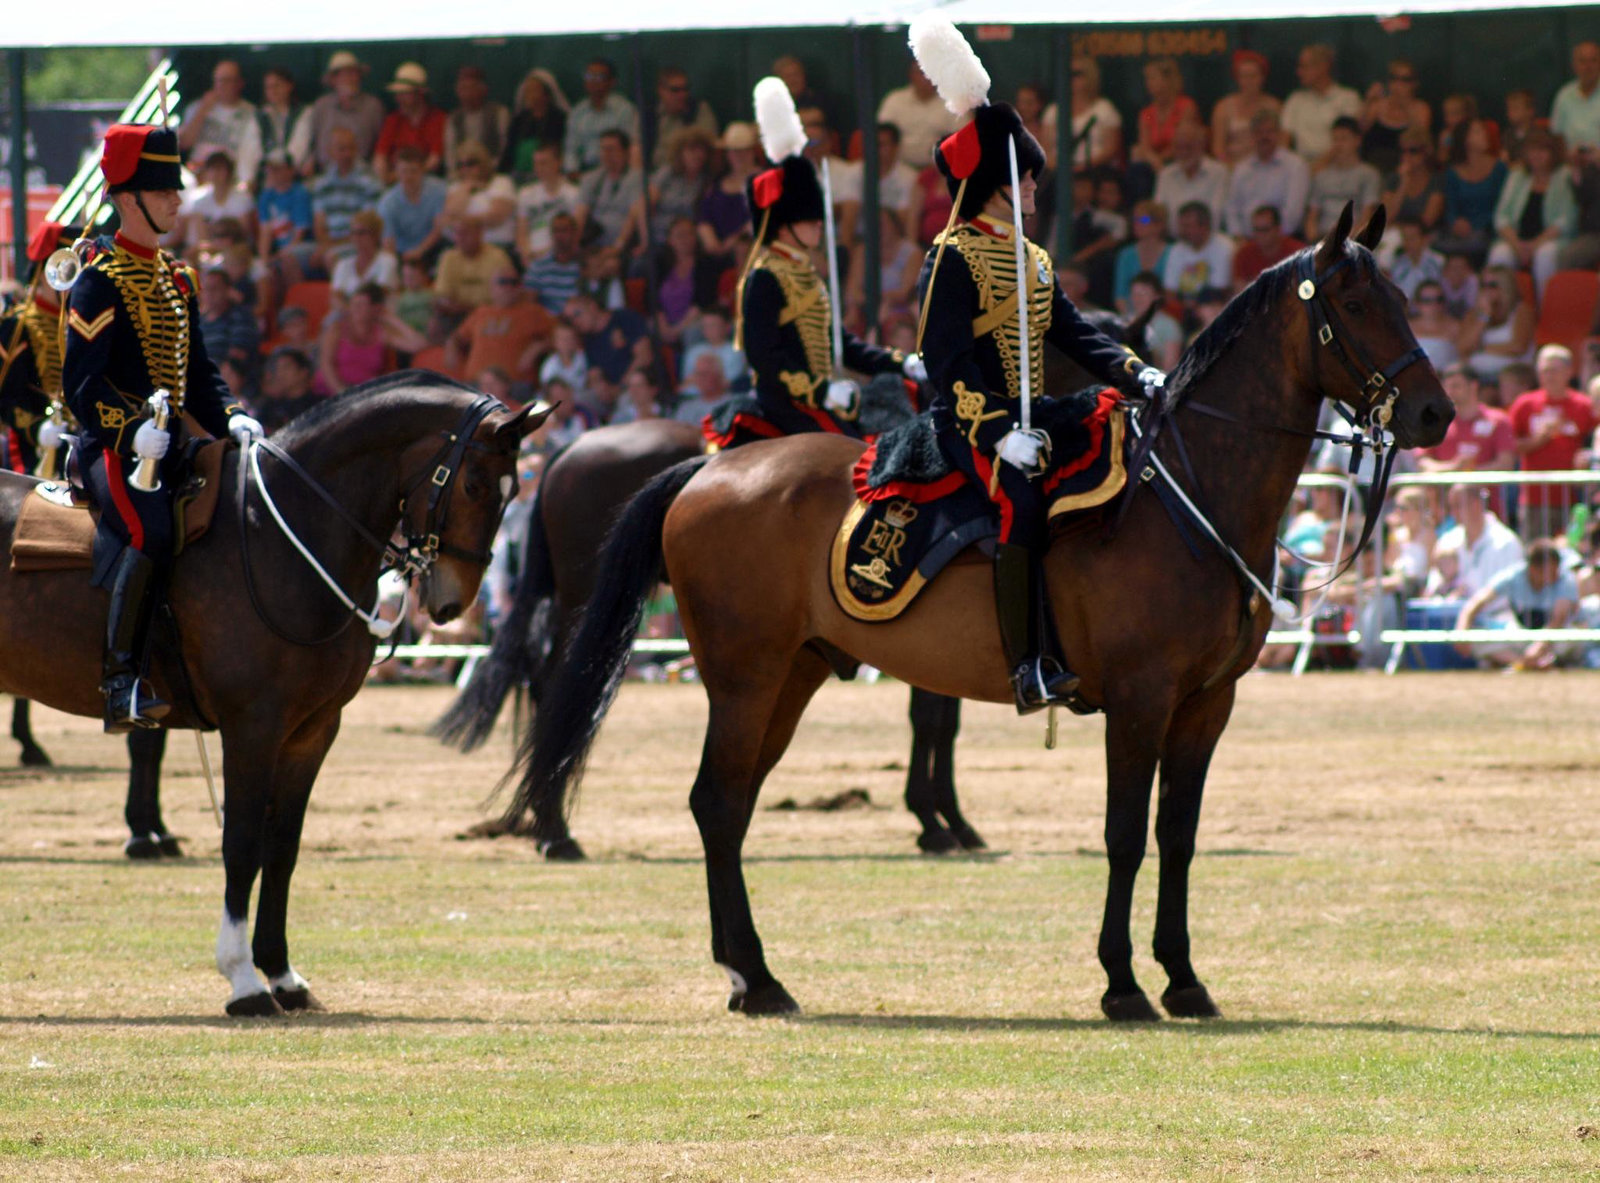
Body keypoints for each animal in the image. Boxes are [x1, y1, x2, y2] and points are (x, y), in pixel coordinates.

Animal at [0, 374, 544, 1011]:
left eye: (513, 491)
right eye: (476, 484)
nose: (453, 601)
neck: (281, 539)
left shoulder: (311, 731)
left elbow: (282, 846)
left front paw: (281, 971)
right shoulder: (252, 727)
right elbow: (240, 843)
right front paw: (242, 979)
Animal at [508, 208, 1452, 1024]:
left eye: (1407, 298)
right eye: (1358, 303)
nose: (1436, 411)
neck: (1186, 493)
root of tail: (703, 473)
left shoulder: (1205, 704)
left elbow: (1176, 837)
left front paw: (1183, 977)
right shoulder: (1141, 699)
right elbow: (1123, 834)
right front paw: (1121, 981)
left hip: (791, 675)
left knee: (728, 804)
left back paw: (749, 972)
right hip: (744, 677)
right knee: (704, 791)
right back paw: (743, 965)